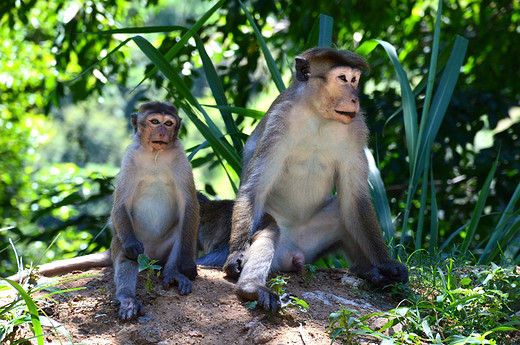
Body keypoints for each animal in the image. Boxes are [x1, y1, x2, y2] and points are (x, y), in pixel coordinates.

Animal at [109, 101, 199, 318]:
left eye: (168, 123)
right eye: (155, 121)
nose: (162, 132)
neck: (155, 155)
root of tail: (151, 257)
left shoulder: (181, 159)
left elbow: (189, 203)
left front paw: (187, 265)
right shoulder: (129, 159)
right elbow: (121, 205)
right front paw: (131, 245)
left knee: (181, 233)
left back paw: (173, 274)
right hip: (133, 245)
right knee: (126, 254)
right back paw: (128, 299)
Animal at [223, 47, 410, 310]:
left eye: (355, 80)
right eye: (342, 78)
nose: (355, 99)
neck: (318, 116)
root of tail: (296, 255)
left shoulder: (356, 127)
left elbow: (355, 196)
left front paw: (386, 264)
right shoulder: (279, 122)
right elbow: (254, 189)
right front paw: (236, 253)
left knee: (345, 210)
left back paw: (369, 271)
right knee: (269, 228)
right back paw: (251, 288)